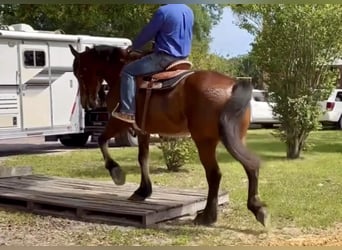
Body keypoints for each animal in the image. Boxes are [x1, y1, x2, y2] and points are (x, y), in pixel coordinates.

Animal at [68, 44, 268, 227]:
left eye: (80, 72)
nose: (88, 103)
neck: (119, 73)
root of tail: (233, 85)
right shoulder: (143, 131)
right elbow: (143, 158)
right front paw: (143, 191)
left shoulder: (119, 122)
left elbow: (102, 141)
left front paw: (116, 172)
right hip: (236, 138)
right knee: (250, 166)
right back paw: (257, 208)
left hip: (205, 141)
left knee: (214, 174)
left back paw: (207, 216)